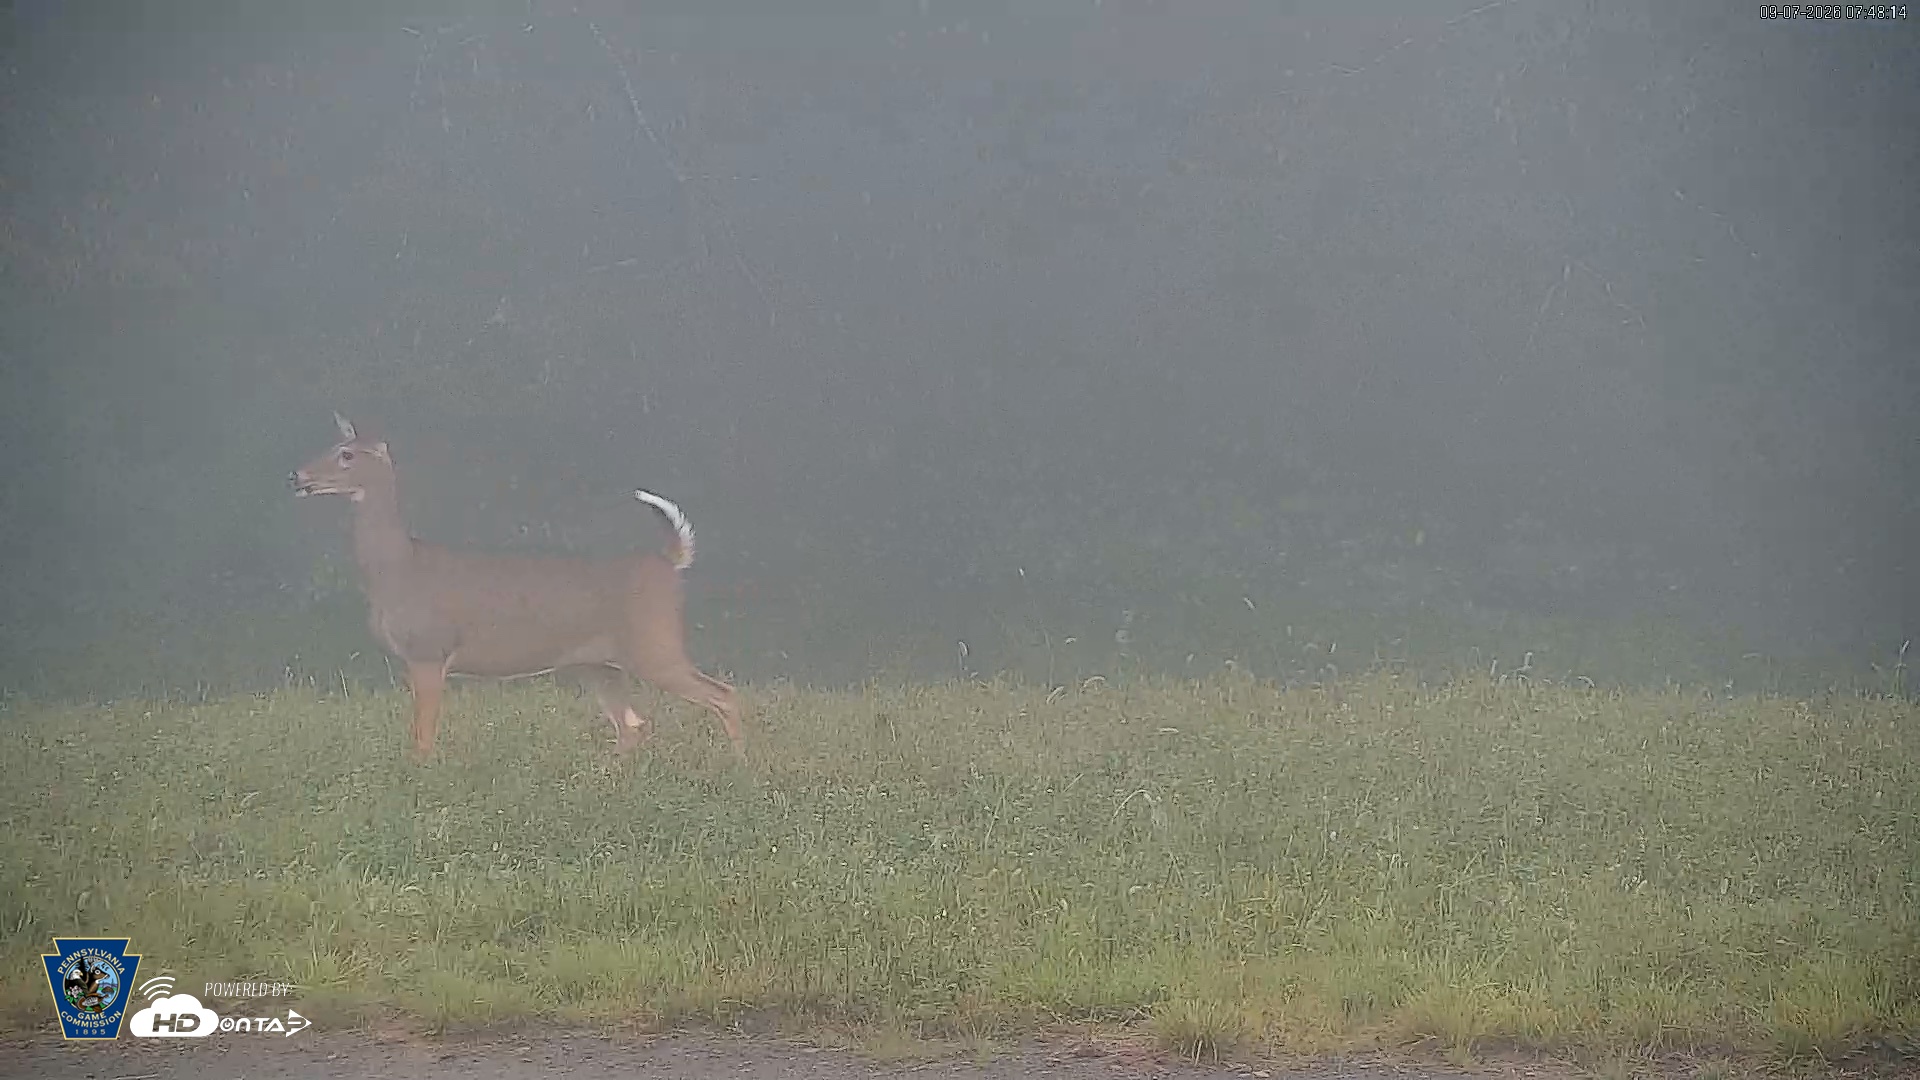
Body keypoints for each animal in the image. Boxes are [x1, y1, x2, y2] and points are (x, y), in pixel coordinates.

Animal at [290, 412, 744, 763]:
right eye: (334, 446)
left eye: (346, 455)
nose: (298, 475)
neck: (399, 569)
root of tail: (667, 561)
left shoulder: (429, 649)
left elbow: (424, 734)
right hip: (601, 664)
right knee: (633, 724)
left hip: (655, 644)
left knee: (723, 694)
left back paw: (742, 769)